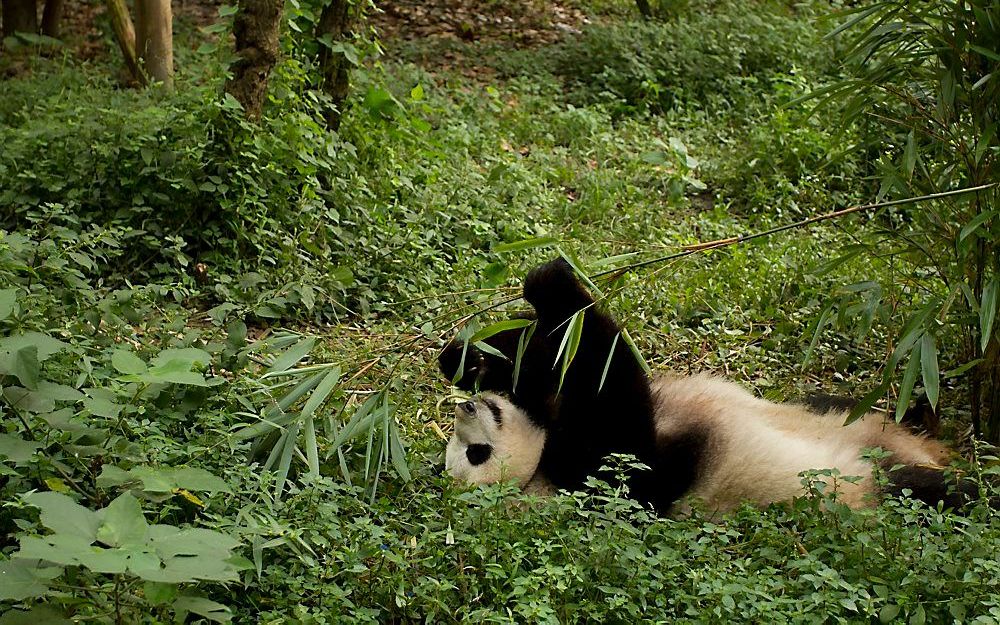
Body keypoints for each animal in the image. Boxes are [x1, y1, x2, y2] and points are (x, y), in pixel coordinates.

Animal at [442, 256, 972, 516]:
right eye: (475, 455)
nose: (465, 410)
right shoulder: (612, 476)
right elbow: (615, 407)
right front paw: (558, 286)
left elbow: (544, 359)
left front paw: (469, 356)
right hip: (868, 482)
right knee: (935, 492)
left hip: (841, 412)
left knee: (853, 405)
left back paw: (920, 407)